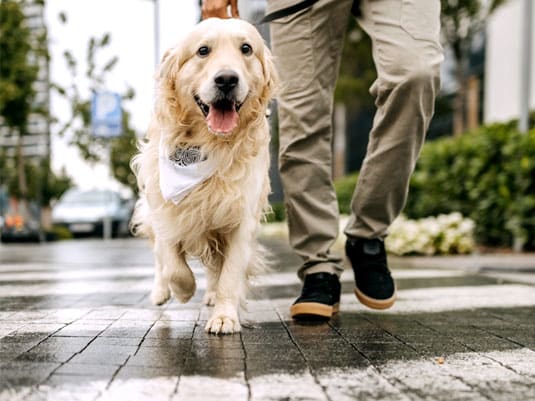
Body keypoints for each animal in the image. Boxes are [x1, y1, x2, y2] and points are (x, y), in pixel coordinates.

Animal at [132, 17, 278, 332]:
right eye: (202, 51)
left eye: (246, 48)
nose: (227, 80)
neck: (208, 145)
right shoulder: (166, 208)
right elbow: (172, 263)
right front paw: (182, 290)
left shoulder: (240, 216)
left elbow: (230, 274)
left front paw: (224, 316)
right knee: (160, 258)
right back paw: (161, 292)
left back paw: (211, 295)